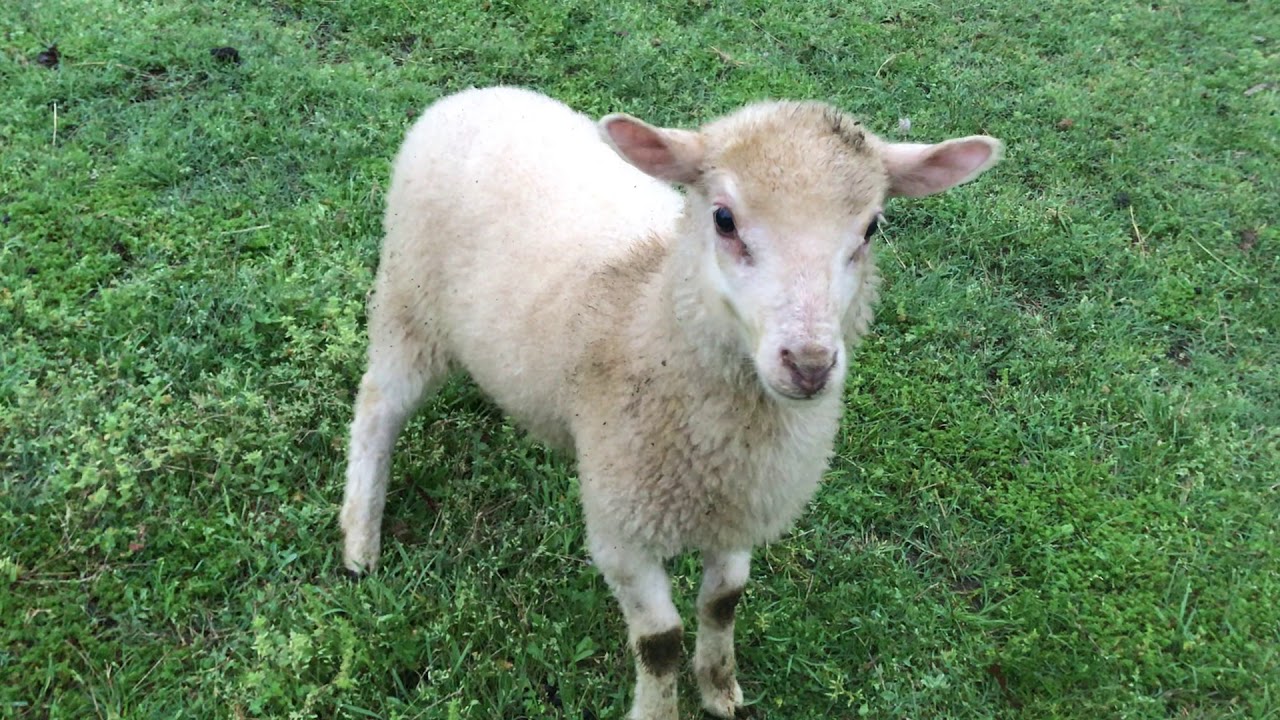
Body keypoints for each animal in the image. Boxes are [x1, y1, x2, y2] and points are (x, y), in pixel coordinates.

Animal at [340, 86, 1002, 719]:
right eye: (724, 219)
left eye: (870, 229)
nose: (809, 364)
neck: (647, 310)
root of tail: (468, 97)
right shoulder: (622, 531)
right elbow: (660, 641)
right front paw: (659, 709)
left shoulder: (737, 506)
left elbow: (722, 602)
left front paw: (719, 689)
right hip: (408, 303)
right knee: (377, 408)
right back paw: (359, 541)